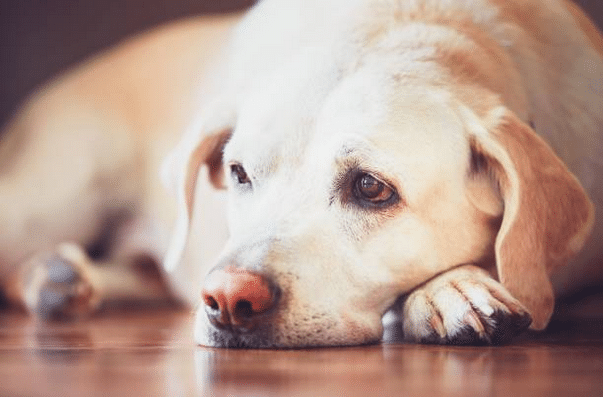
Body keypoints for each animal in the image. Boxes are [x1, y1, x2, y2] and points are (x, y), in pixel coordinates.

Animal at [1, 0, 603, 346]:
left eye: (371, 187)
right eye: (238, 172)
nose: (227, 299)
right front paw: (450, 289)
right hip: (50, 200)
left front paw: (452, 287)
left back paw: (62, 279)